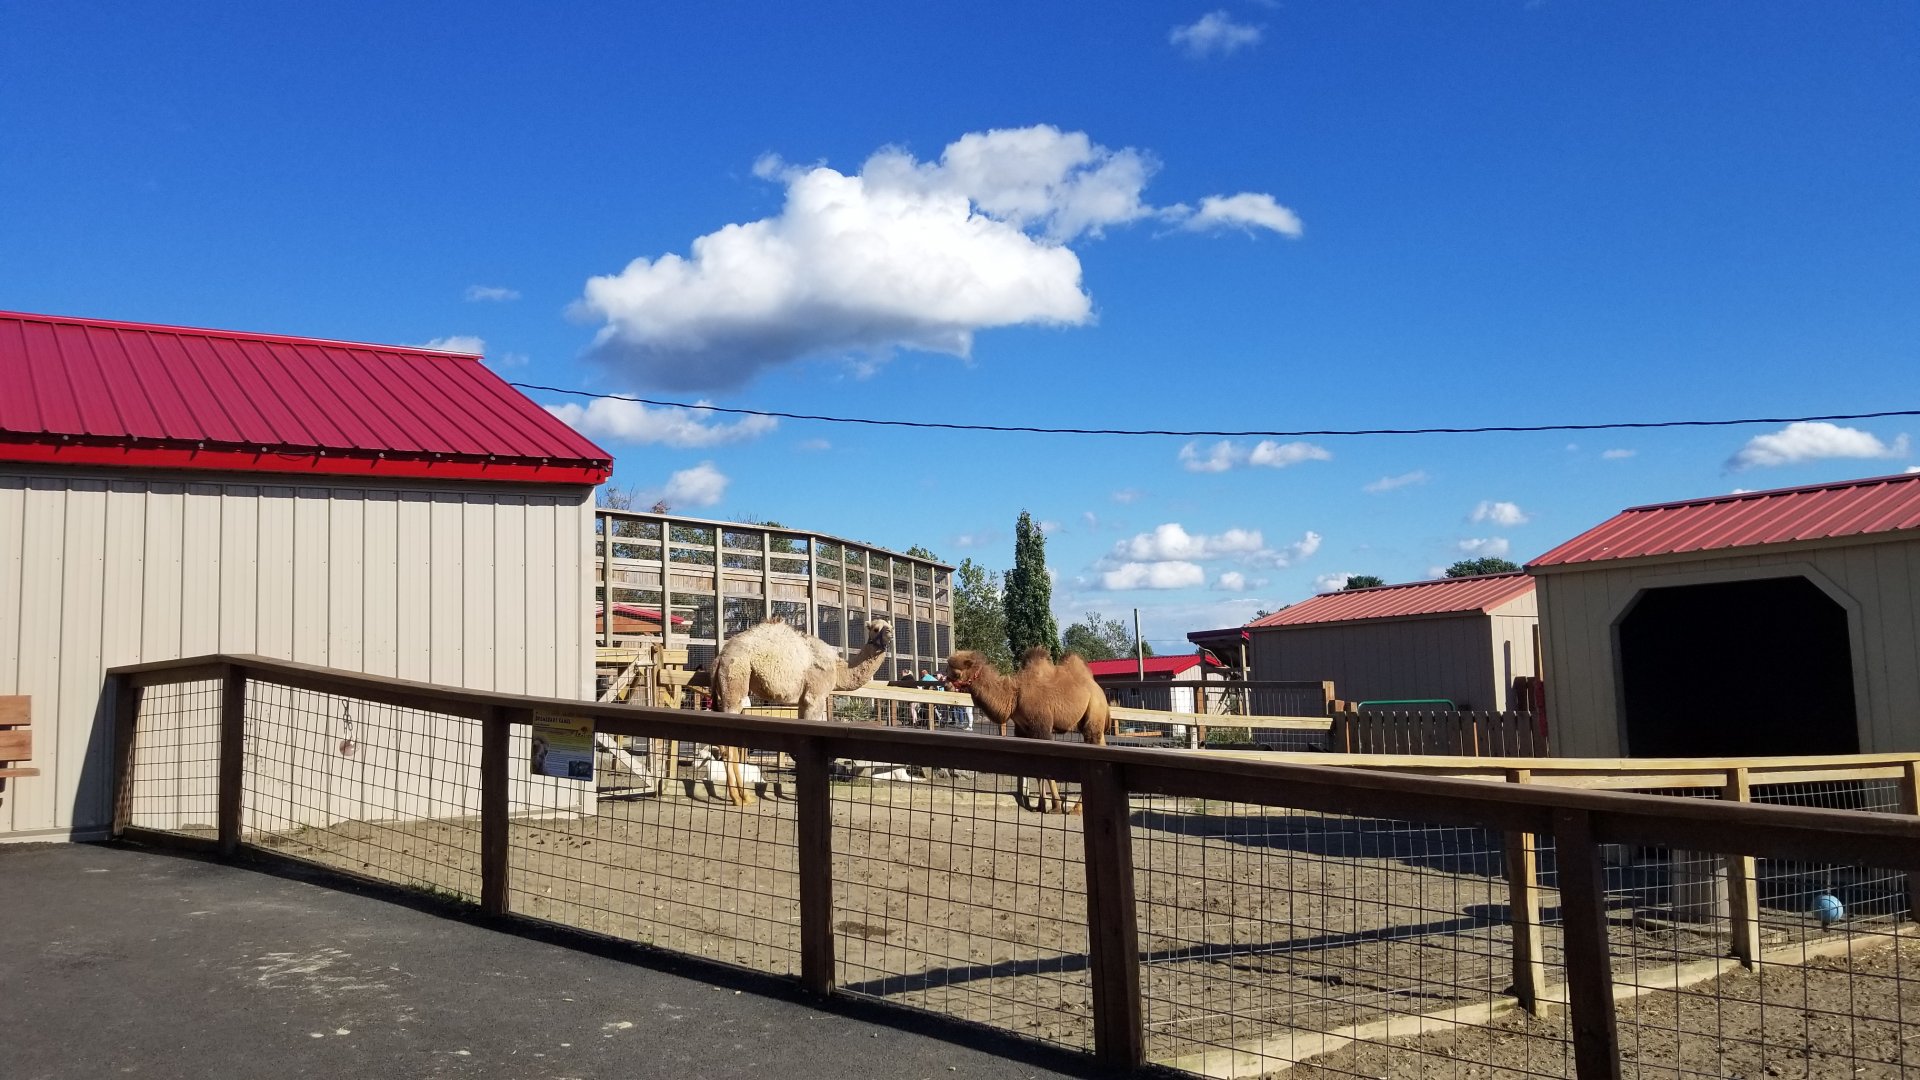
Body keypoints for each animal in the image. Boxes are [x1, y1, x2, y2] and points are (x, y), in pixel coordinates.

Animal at [709, 618, 894, 805]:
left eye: (890, 627)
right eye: (875, 629)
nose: (889, 634)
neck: (838, 669)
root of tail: (719, 658)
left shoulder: (803, 702)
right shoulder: (815, 697)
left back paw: (740, 796)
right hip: (736, 680)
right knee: (729, 744)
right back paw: (741, 798)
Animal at [944, 648, 1113, 813]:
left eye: (956, 673)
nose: (946, 686)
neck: (1014, 696)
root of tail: (1099, 690)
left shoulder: (1041, 727)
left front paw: (1056, 806)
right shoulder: (1024, 730)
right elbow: (1036, 771)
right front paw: (1040, 805)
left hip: (1094, 711)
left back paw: (1077, 808)